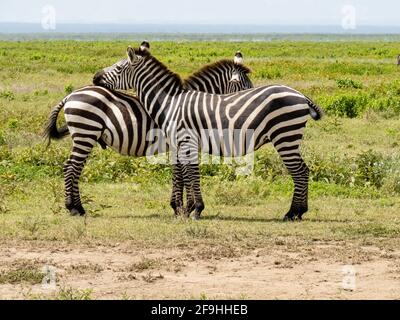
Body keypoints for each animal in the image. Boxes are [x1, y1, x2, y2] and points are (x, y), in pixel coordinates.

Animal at [43, 48, 250, 216]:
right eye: (245, 87)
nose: (95, 77)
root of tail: (71, 95)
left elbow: (179, 173)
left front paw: (180, 207)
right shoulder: (180, 143)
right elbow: (181, 174)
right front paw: (182, 208)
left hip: (84, 135)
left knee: (74, 168)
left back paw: (78, 207)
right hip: (85, 133)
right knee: (71, 167)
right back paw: (73, 208)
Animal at [92, 44, 324, 220]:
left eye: (119, 68)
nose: (95, 77)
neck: (170, 102)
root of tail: (301, 95)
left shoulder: (186, 141)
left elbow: (190, 174)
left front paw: (193, 209)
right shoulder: (182, 144)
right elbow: (186, 174)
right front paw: (186, 209)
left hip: (285, 136)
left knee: (300, 171)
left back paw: (293, 213)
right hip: (287, 137)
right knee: (303, 170)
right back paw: (298, 212)